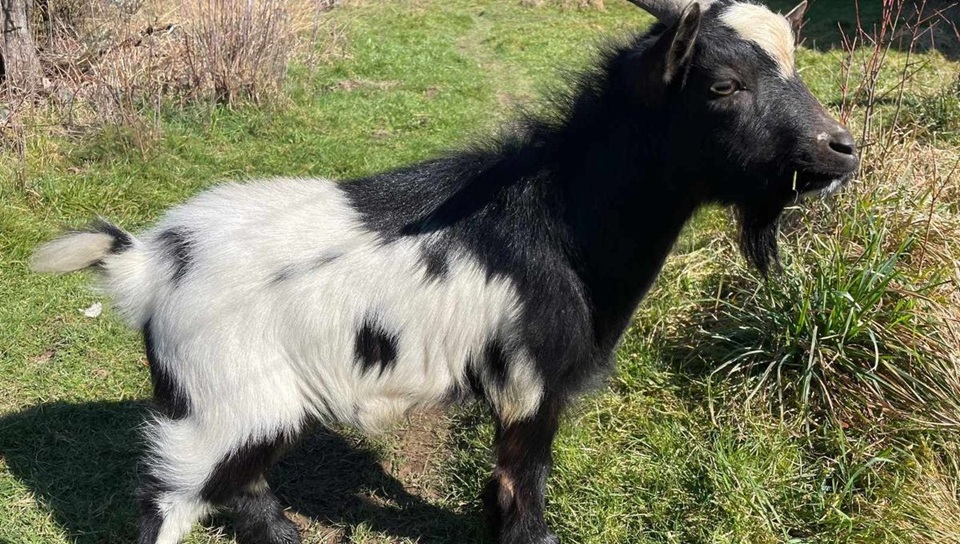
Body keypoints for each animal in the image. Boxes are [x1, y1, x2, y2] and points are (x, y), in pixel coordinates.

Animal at [30, 1, 860, 544]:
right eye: (723, 85)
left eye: (796, 66)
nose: (842, 149)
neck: (557, 218)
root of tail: (148, 260)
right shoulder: (531, 382)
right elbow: (523, 482)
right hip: (212, 403)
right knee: (167, 498)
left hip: (254, 402)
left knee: (245, 479)